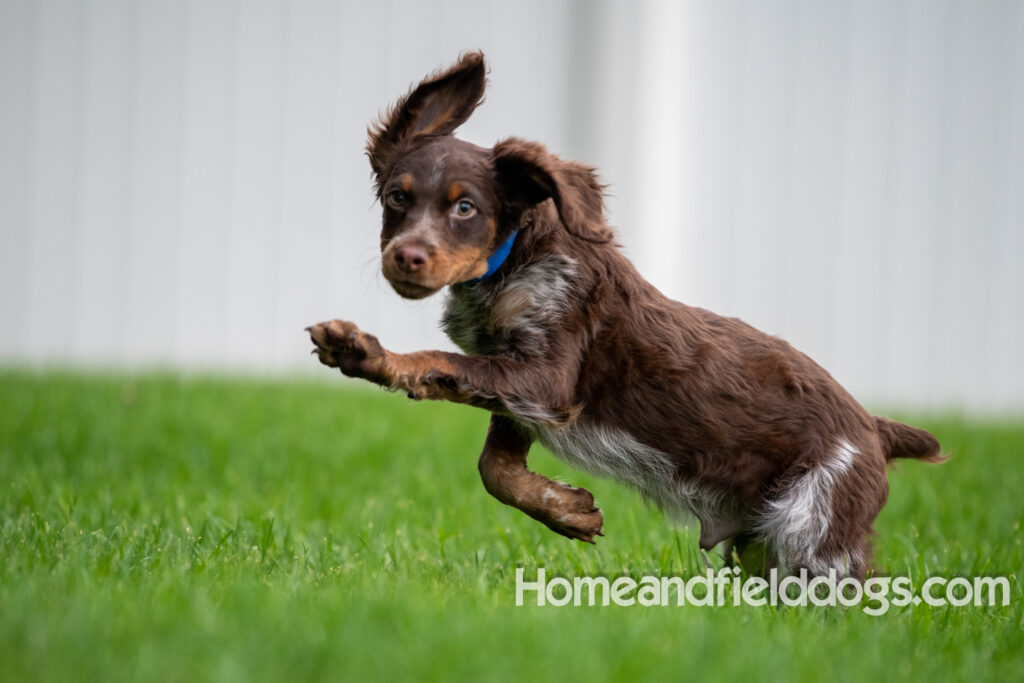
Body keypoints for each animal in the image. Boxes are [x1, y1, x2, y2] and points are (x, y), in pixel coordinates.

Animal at [305, 53, 942, 577]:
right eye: (397, 197)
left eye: (465, 208)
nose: (406, 256)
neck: (510, 265)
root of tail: (874, 428)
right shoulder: (523, 386)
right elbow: (495, 468)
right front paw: (568, 511)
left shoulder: (545, 374)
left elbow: (438, 364)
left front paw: (364, 352)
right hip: (763, 542)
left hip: (814, 529)